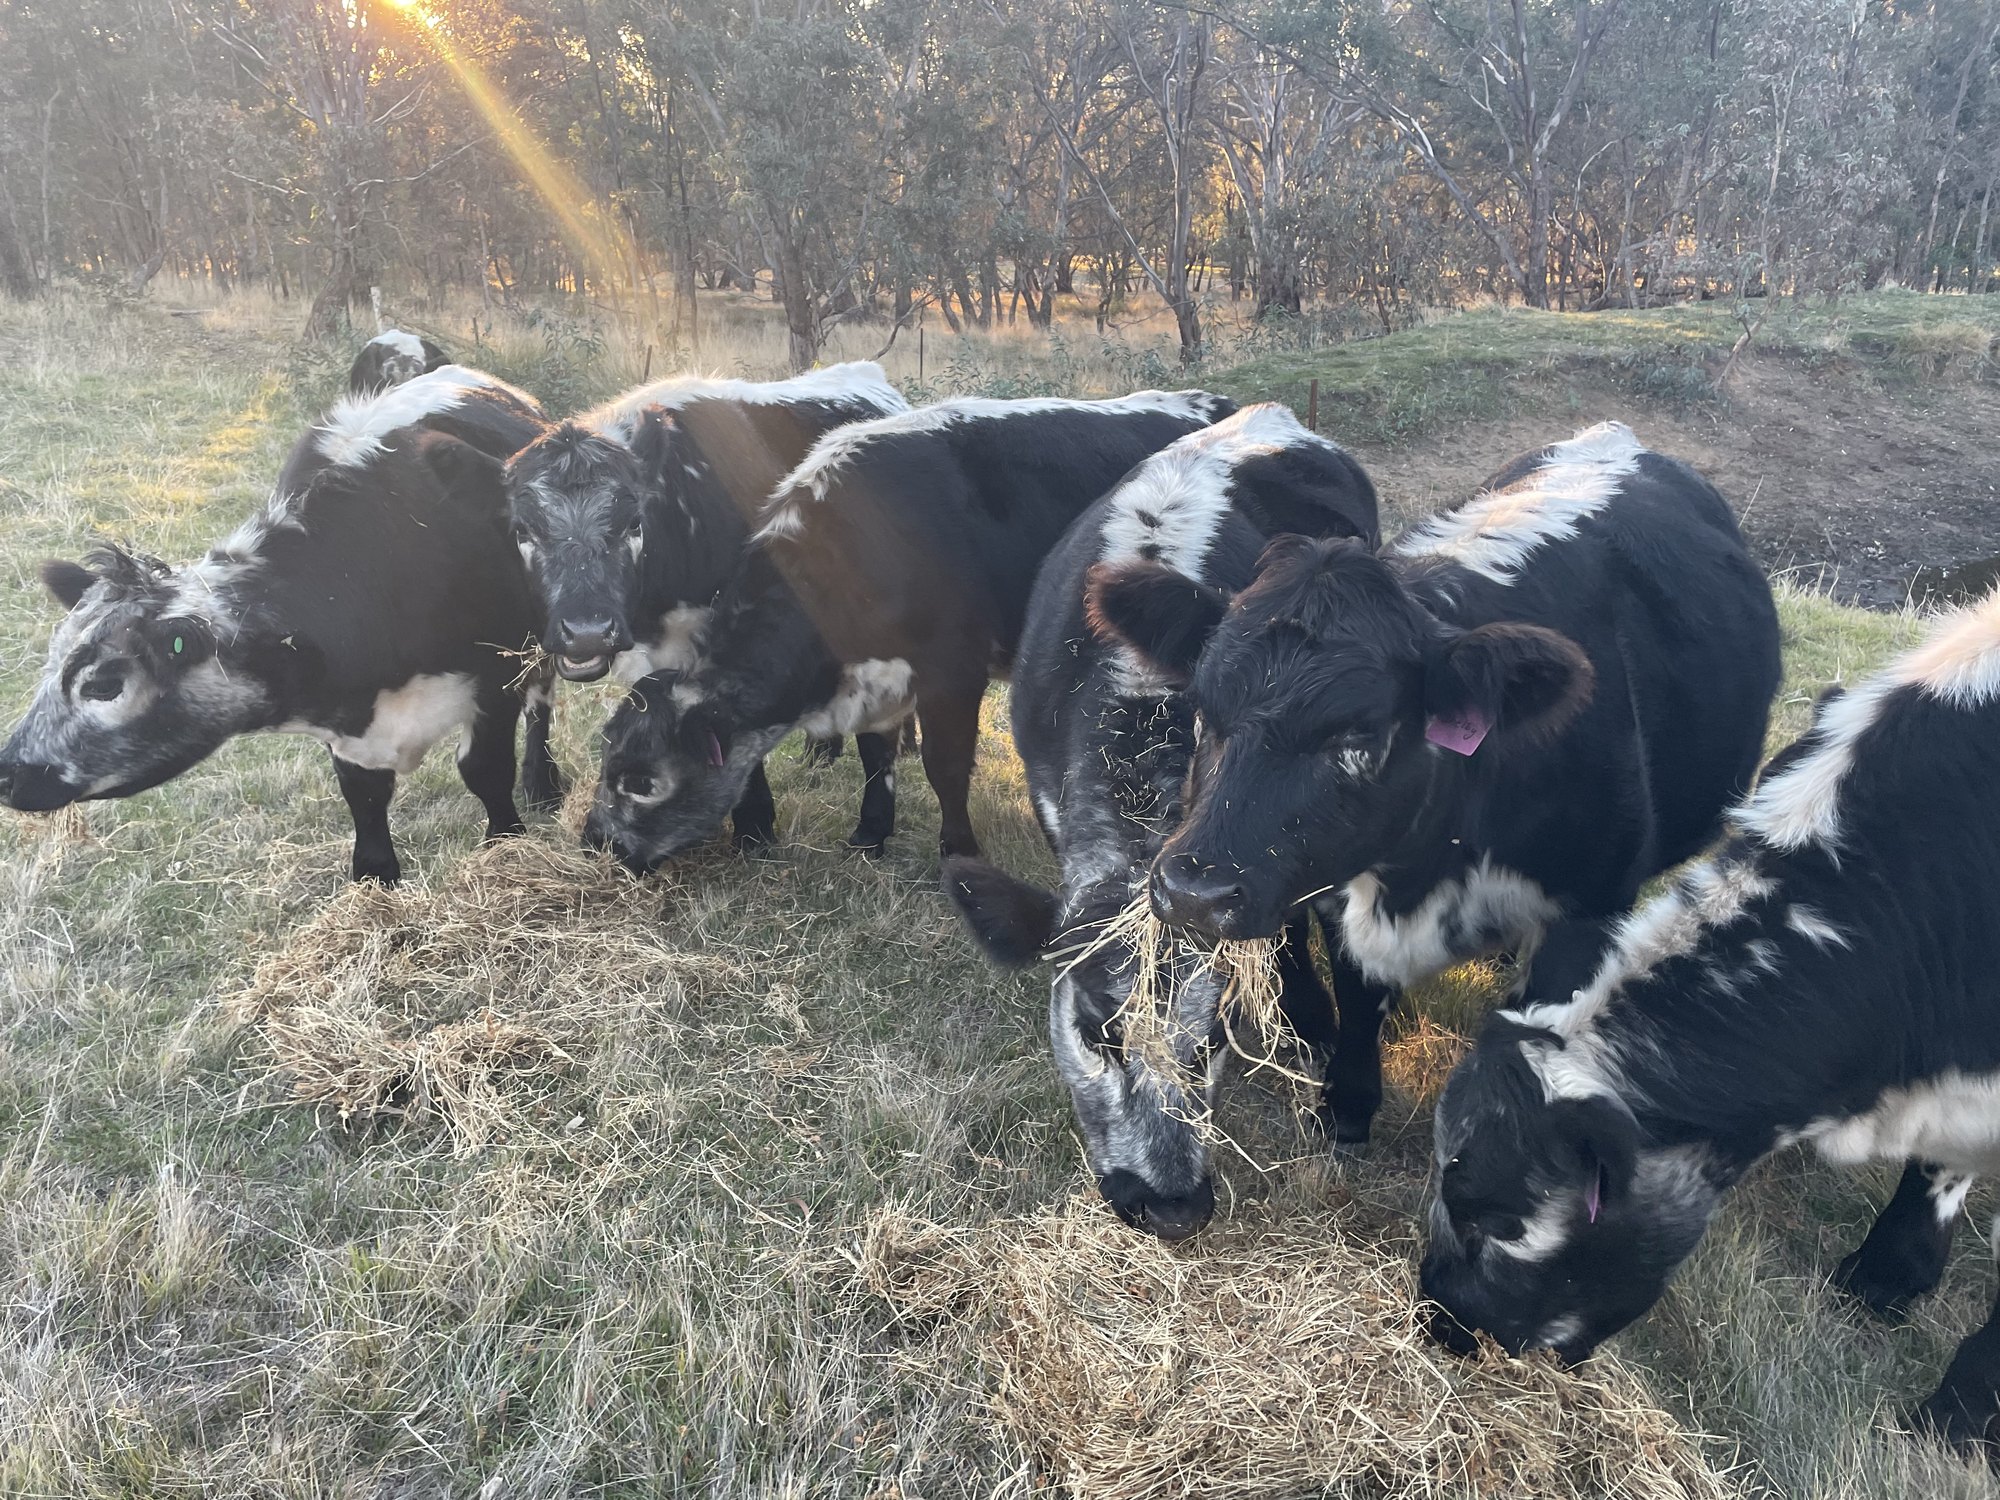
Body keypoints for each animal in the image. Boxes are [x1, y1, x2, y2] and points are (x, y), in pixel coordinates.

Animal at [0, 366, 559, 884]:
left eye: (103, 683)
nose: (7, 773)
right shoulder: (347, 730)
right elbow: (364, 796)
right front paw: (375, 878)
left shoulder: (497, 678)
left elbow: (486, 771)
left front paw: (507, 844)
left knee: (542, 706)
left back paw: (544, 784)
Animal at [581, 389, 1237, 872]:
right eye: (606, 755)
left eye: (641, 781)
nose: (593, 841)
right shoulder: (879, 677)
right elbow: (877, 755)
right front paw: (870, 833)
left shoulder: (954, 671)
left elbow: (945, 765)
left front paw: (958, 850)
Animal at [1077, 422, 1780, 1235]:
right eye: (1204, 706)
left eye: (1362, 733)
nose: (1193, 891)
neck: (1424, 869)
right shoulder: (1337, 890)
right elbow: (1356, 1006)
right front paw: (1346, 1114)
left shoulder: (1590, 907)